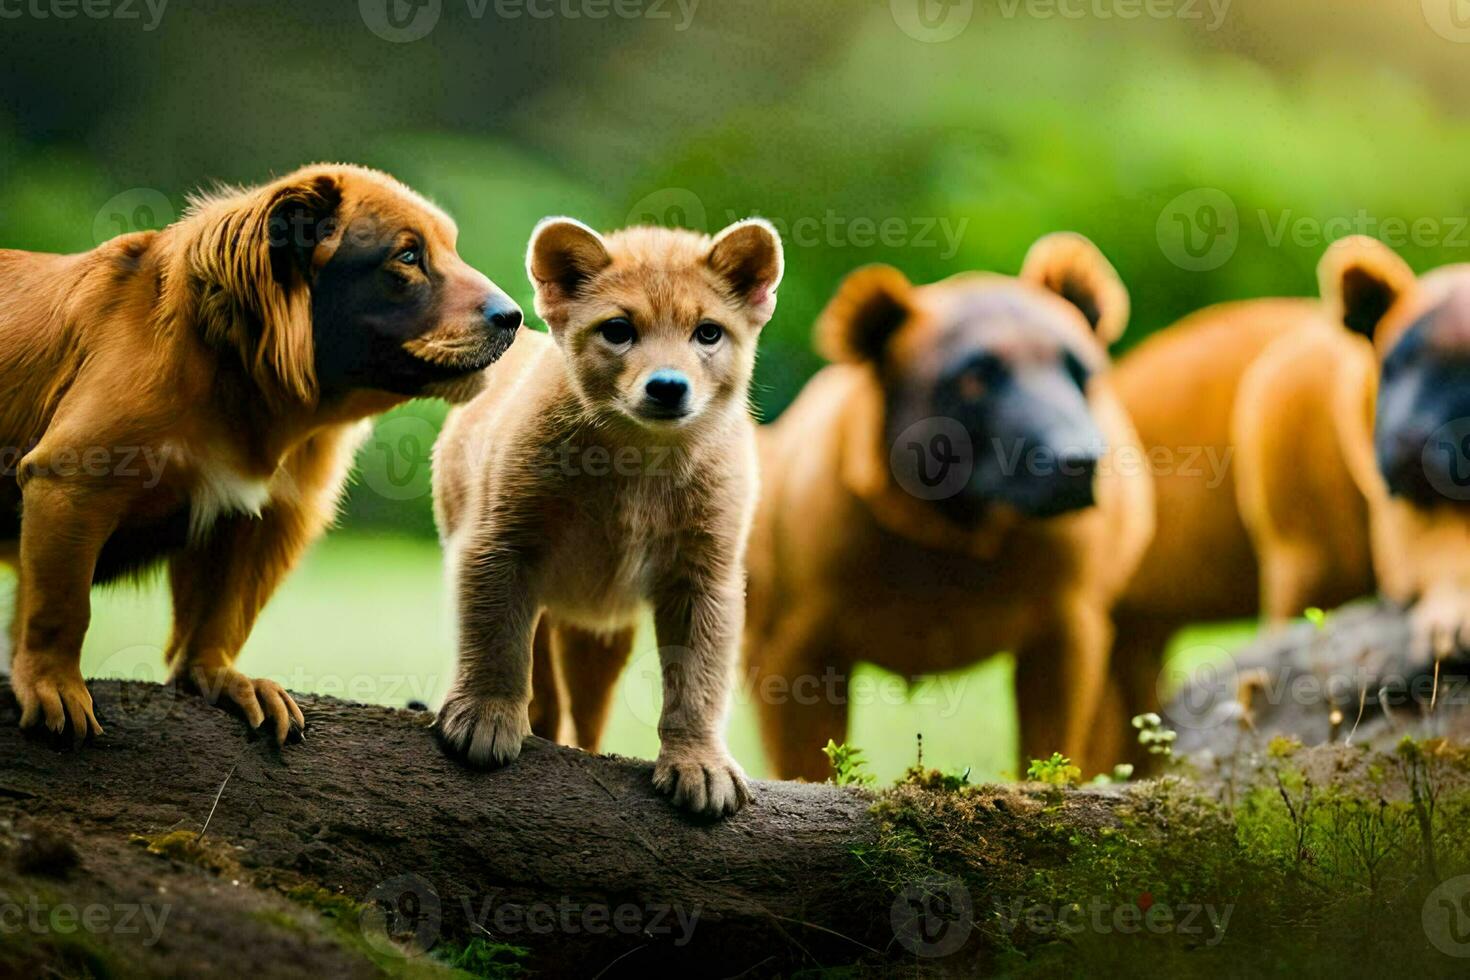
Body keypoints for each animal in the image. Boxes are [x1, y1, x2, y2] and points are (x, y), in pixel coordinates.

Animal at [1, 163, 523, 743]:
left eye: (449, 248)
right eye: (407, 257)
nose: (513, 316)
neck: (240, 376)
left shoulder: (266, 513)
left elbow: (222, 616)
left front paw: (220, 677)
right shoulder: (70, 479)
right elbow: (61, 606)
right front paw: (52, 684)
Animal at [432, 215, 782, 822]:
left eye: (708, 333)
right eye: (618, 329)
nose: (667, 386)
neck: (639, 462)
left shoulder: (704, 574)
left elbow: (699, 677)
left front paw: (700, 765)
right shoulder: (500, 543)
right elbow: (496, 638)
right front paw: (483, 717)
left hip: (600, 635)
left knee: (587, 712)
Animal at [746, 235, 1146, 781]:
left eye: (1082, 371)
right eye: (975, 377)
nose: (1079, 461)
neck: (956, 525)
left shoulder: (1069, 610)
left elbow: (1053, 734)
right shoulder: (798, 622)